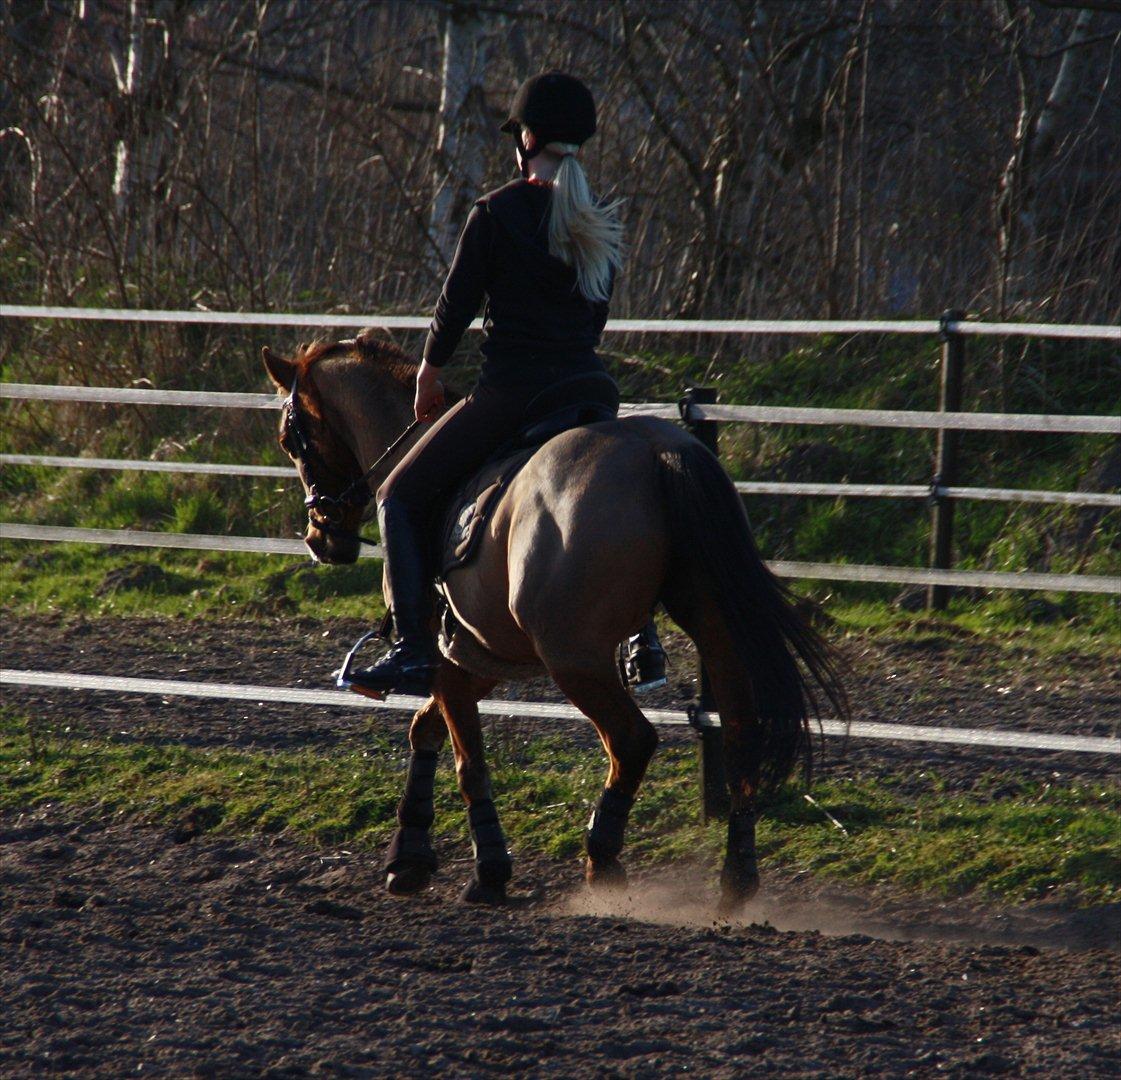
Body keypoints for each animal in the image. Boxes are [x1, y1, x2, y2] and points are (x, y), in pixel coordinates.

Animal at [257, 331, 842, 910]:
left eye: (290, 440)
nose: (319, 537)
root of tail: (660, 449)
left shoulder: (447, 655)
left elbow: (468, 762)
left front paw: (488, 871)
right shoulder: (479, 657)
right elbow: (425, 730)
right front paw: (410, 855)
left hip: (575, 660)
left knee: (631, 741)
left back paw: (603, 863)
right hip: (715, 633)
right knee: (741, 733)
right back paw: (737, 879)